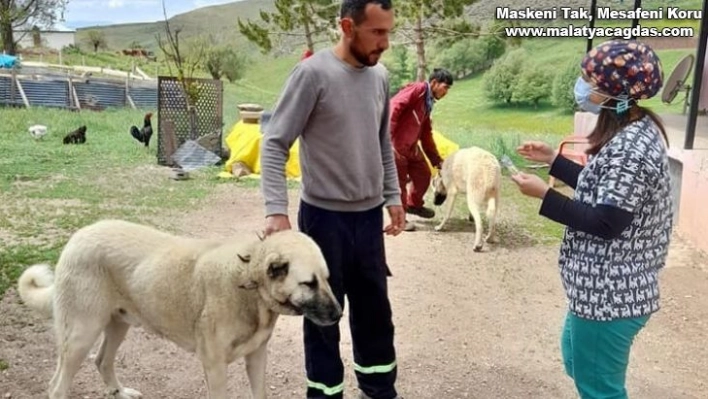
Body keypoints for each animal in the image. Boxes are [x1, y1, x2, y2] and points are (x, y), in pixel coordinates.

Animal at [16, 220, 342, 399]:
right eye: (309, 283)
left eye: (327, 279)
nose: (339, 314)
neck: (247, 282)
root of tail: (78, 237)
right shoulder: (214, 366)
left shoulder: (256, 357)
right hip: (81, 335)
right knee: (57, 387)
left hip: (118, 324)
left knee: (102, 361)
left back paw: (121, 392)